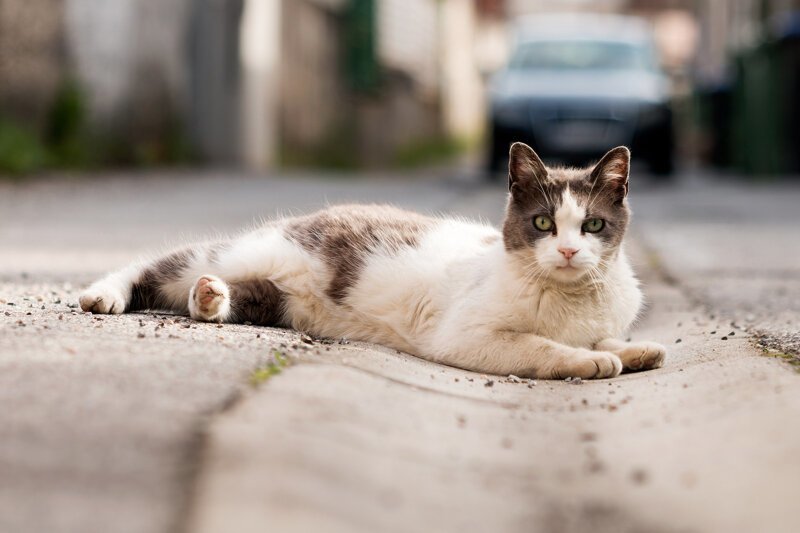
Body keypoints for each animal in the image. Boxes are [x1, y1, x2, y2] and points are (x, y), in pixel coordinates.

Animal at [81, 141, 664, 380]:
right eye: (543, 224)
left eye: (592, 226)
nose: (567, 250)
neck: (571, 299)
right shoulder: (467, 335)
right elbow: (540, 345)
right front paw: (588, 360)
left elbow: (606, 337)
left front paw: (634, 350)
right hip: (252, 248)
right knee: (159, 264)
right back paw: (103, 294)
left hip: (281, 301)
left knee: (227, 297)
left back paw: (209, 297)